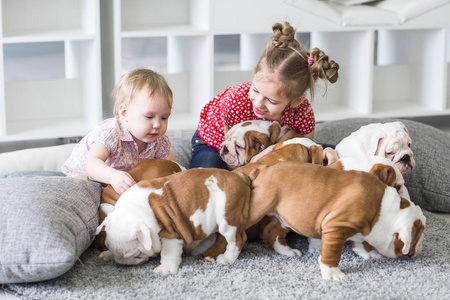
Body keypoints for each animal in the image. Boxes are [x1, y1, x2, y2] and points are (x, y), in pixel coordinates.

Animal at [96, 169, 251, 274]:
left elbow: (168, 252)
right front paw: (108, 254)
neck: (133, 212)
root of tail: (238, 176)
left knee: (237, 239)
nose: (123, 263)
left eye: (137, 254)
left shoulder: (171, 234)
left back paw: (227, 258)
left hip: (228, 219)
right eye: (109, 246)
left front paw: (165, 269)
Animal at [250, 162, 426, 282]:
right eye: (419, 234)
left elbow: (361, 243)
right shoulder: (335, 228)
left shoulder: (360, 231)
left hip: (284, 218)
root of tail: (264, 169)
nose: (421, 245)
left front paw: (369, 253)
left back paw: (288, 251)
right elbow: (332, 253)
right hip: (258, 207)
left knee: (274, 233)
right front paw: (332, 273)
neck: (381, 211)